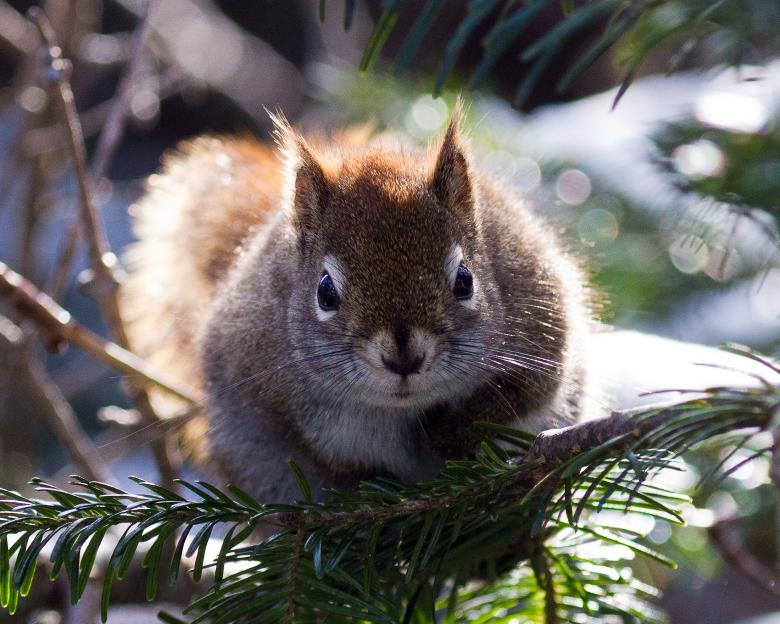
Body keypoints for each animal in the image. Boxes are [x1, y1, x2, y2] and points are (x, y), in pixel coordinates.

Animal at [121, 104, 593, 503]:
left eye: (465, 281)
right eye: (325, 292)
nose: (403, 358)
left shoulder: (542, 317)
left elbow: (525, 391)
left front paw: (452, 431)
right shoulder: (252, 377)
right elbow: (306, 449)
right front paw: (362, 481)